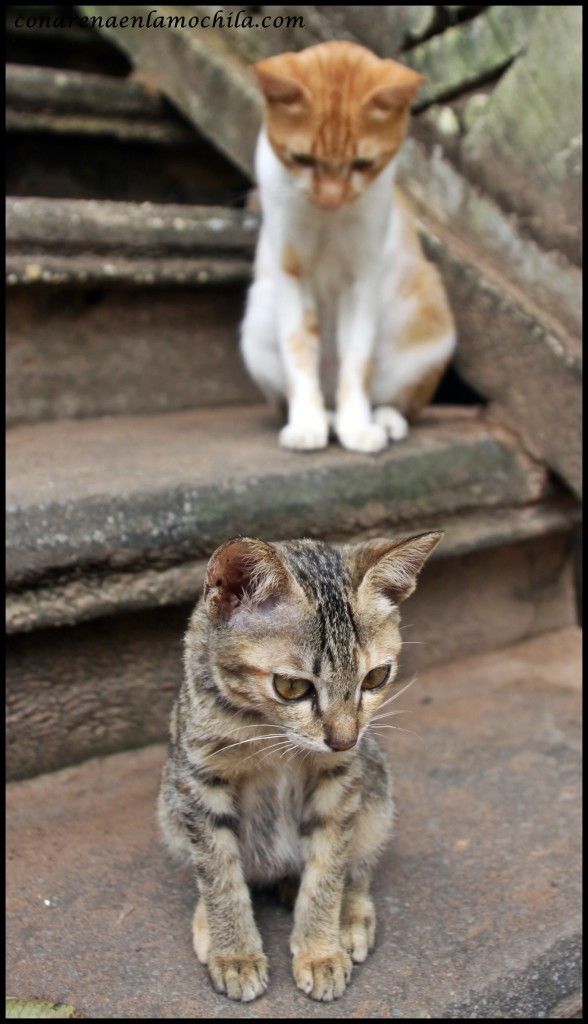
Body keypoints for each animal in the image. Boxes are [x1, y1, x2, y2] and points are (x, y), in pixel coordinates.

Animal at [158, 528, 440, 999]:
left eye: (376, 678)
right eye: (291, 687)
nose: (345, 740)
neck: (270, 733)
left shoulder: (339, 780)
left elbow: (328, 866)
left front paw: (320, 951)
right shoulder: (200, 778)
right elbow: (217, 872)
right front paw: (234, 953)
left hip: (376, 792)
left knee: (357, 862)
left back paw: (349, 915)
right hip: (169, 801)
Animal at [239, 43, 456, 452]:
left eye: (363, 163)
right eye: (302, 159)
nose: (330, 199)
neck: (327, 220)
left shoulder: (362, 278)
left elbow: (356, 360)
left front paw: (357, 427)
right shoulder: (292, 271)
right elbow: (298, 350)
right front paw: (306, 424)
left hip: (428, 324)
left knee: (399, 403)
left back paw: (378, 419)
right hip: (257, 324)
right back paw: (326, 417)